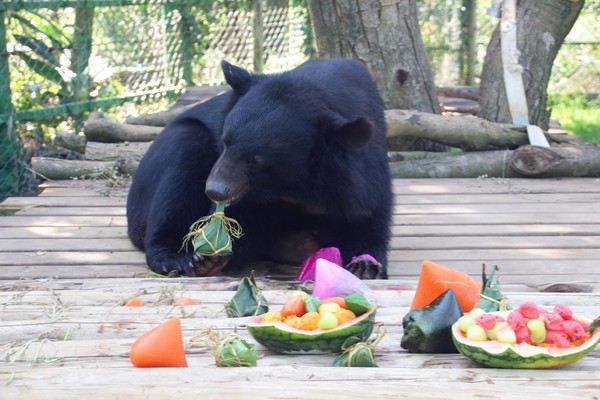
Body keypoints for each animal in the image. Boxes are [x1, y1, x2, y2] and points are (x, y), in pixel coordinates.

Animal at [126, 58, 394, 278]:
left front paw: (365, 265)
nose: (215, 191)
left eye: (256, 160)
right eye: (225, 141)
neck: (292, 186)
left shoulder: (360, 173)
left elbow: (366, 217)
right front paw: (210, 256)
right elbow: (242, 222)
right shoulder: (249, 194)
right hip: (169, 156)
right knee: (177, 182)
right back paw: (174, 257)